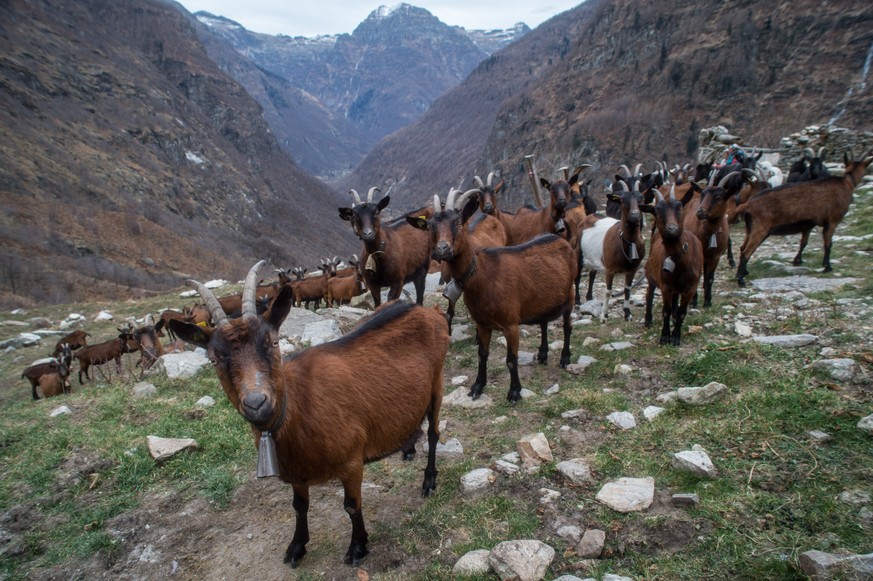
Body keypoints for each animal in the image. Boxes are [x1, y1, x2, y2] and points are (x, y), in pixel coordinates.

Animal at [167, 262, 446, 568]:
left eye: (273, 342)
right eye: (215, 358)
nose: (256, 403)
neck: (299, 408)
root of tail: (428, 311)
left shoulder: (352, 462)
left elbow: (351, 505)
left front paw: (357, 547)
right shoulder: (296, 474)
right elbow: (299, 507)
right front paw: (296, 547)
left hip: (437, 384)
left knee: (434, 433)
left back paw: (429, 481)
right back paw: (407, 446)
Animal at [410, 188, 576, 402]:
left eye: (458, 222)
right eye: (430, 226)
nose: (442, 249)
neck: (482, 275)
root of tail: (561, 240)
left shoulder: (511, 324)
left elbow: (512, 359)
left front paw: (514, 391)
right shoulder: (482, 323)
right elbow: (482, 354)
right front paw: (477, 386)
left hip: (570, 295)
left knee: (567, 327)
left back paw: (564, 357)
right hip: (543, 299)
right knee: (544, 322)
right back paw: (542, 354)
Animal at [644, 186, 704, 344]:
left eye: (680, 207)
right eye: (656, 210)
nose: (672, 229)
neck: (679, 259)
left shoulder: (691, 287)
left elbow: (683, 312)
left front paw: (676, 336)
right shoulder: (666, 286)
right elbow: (666, 310)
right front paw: (665, 336)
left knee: (676, 299)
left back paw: (675, 317)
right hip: (650, 275)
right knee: (649, 294)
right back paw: (648, 320)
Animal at [732, 151, 868, 284]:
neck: (846, 182)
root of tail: (748, 204)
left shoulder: (808, 224)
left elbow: (804, 242)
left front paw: (797, 261)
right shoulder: (832, 221)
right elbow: (828, 244)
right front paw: (827, 267)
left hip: (750, 229)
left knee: (742, 247)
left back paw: (744, 273)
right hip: (760, 229)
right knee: (746, 252)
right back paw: (740, 279)